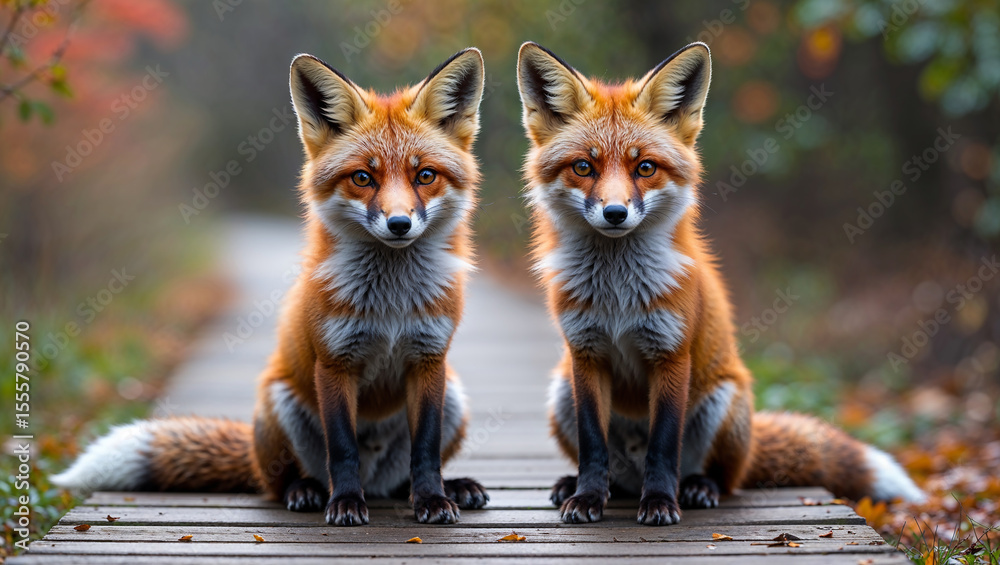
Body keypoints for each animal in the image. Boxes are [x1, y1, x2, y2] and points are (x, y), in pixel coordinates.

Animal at [52, 48, 490, 526]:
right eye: (362, 178)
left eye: (425, 176)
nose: (398, 224)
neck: (390, 305)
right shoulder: (334, 363)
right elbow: (343, 449)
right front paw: (345, 504)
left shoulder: (429, 361)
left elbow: (425, 450)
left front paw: (431, 499)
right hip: (279, 405)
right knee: (281, 483)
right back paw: (309, 491)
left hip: (454, 397)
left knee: (399, 482)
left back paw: (449, 487)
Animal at [515, 41, 926, 526]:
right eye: (584, 166)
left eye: (645, 168)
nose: (615, 213)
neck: (618, 297)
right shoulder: (585, 355)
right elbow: (592, 445)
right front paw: (587, 498)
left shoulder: (671, 354)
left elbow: (663, 445)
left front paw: (660, 503)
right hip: (561, 392)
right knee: (616, 473)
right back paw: (580, 486)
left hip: (723, 402)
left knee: (720, 478)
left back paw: (696, 488)